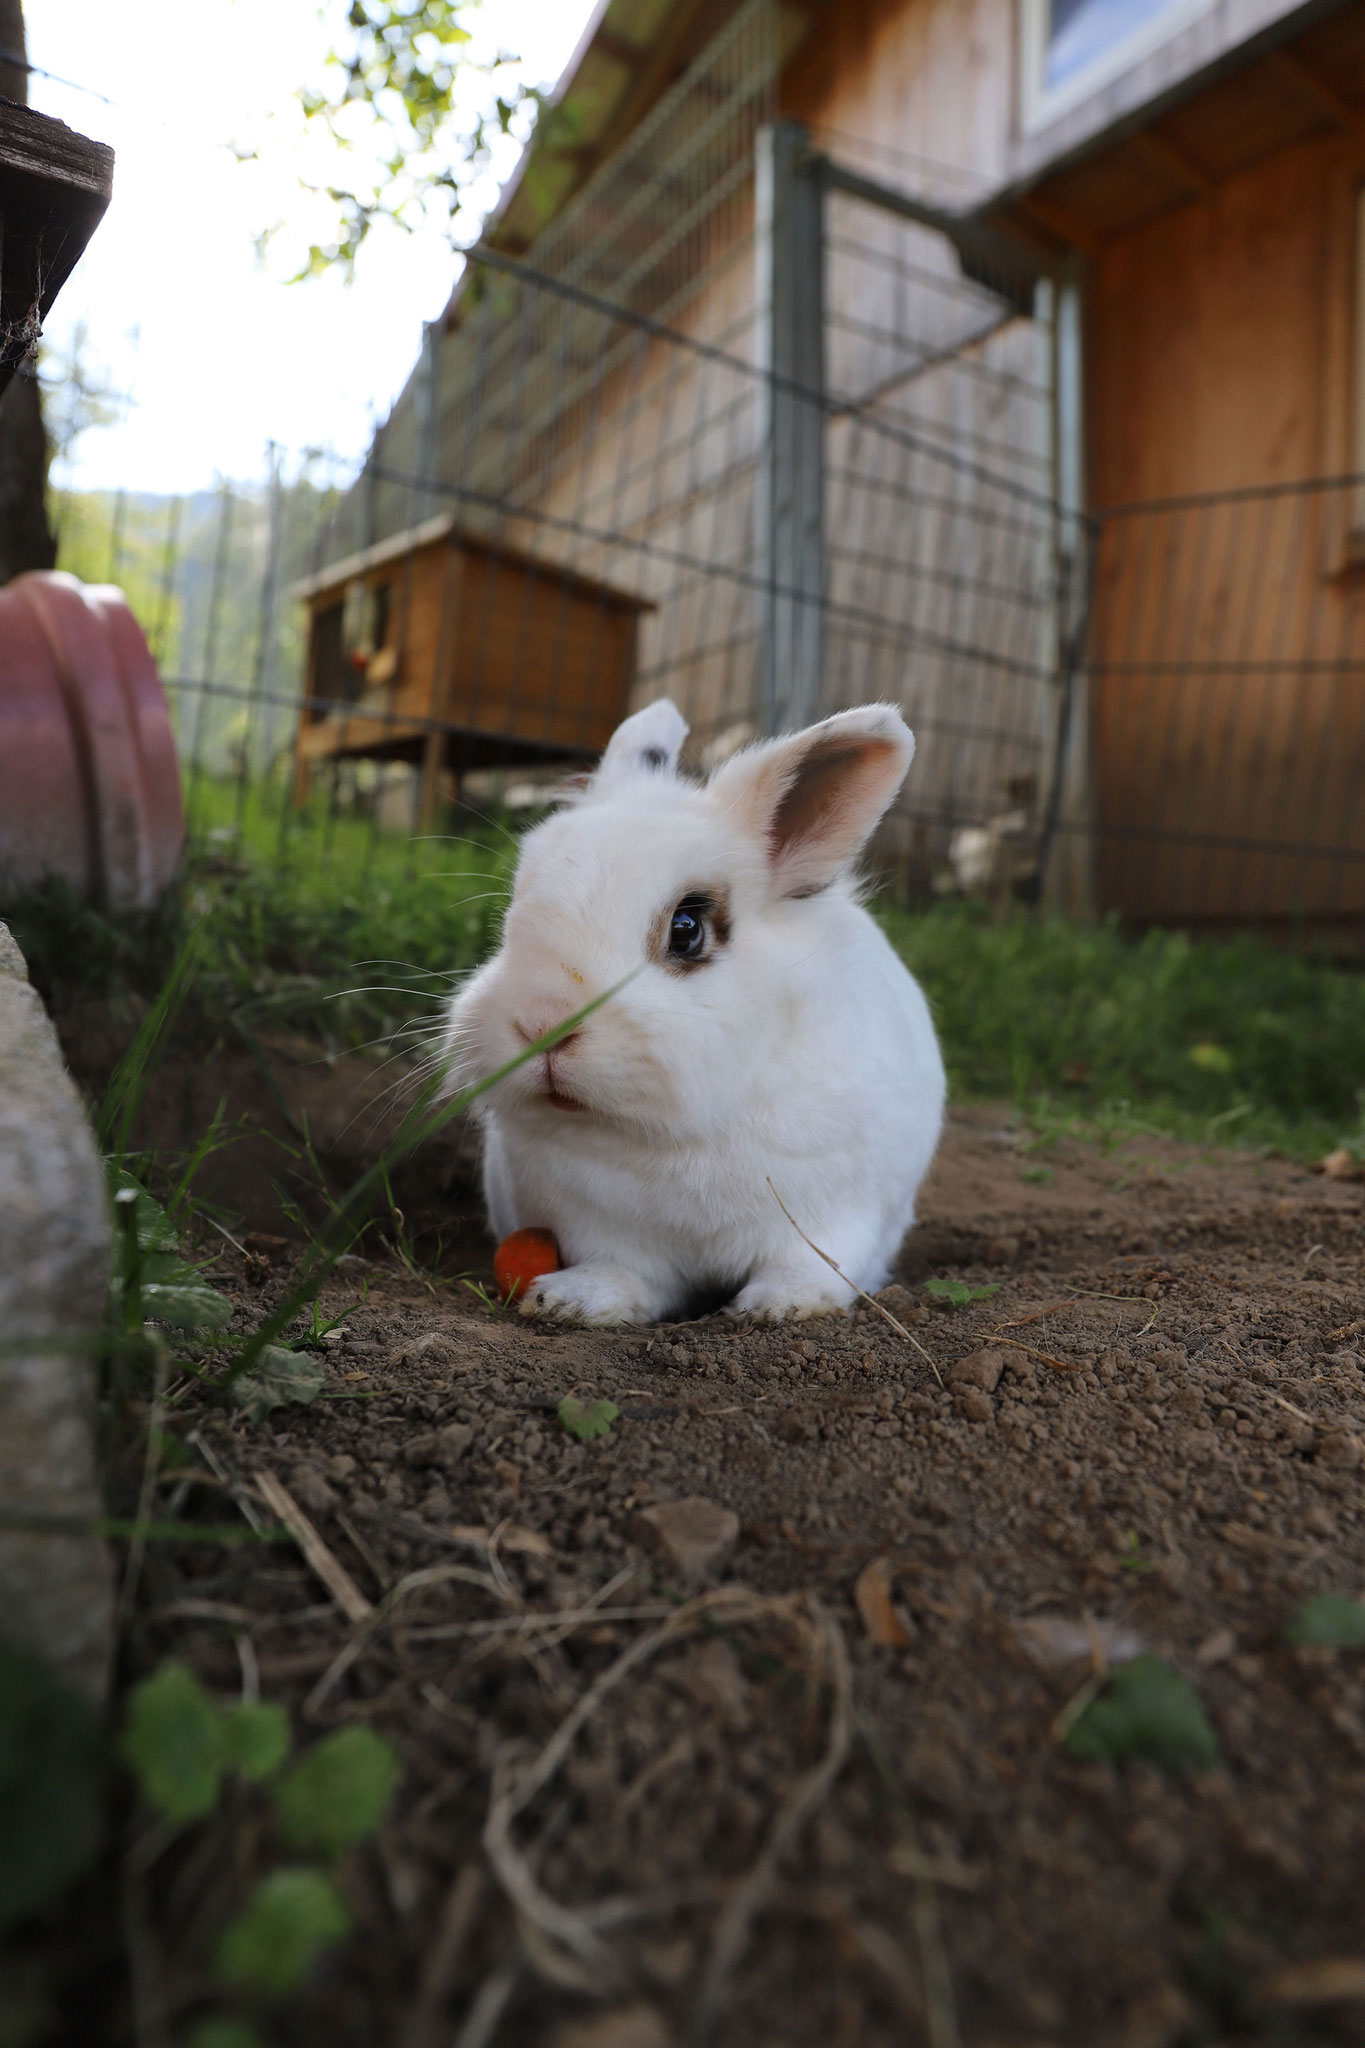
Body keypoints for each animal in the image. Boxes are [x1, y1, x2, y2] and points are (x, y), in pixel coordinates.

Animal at [443, 696, 945, 1324]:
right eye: (514, 911)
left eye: (686, 930)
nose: (542, 1024)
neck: (676, 1137)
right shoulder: (601, 1229)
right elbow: (623, 1272)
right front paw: (571, 1301)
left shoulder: (834, 1213)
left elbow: (812, 1265)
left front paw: (781, 1306)